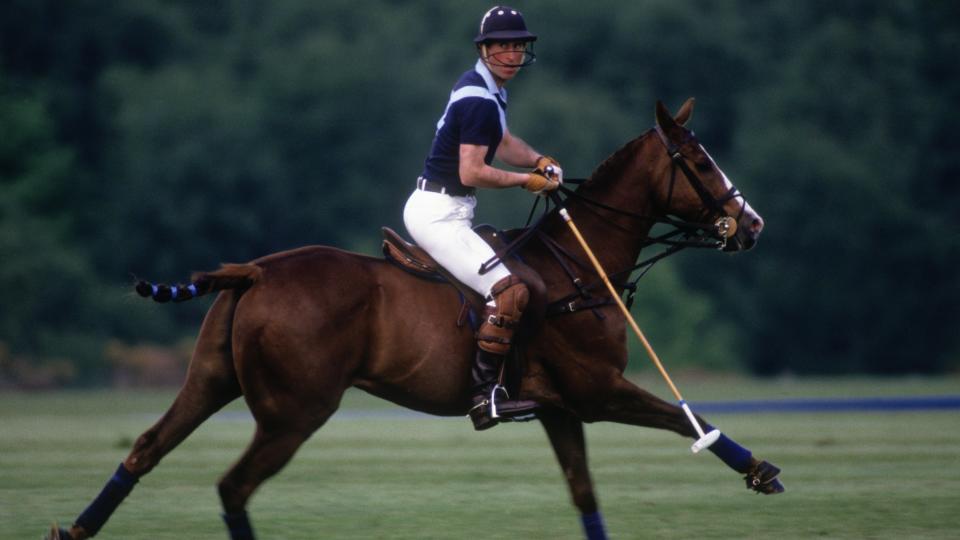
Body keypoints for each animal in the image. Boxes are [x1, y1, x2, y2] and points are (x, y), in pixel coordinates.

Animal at [48, 100, 780, 540]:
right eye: (701, 160)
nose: (752, 225)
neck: (580, 264)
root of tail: (252, 271)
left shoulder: (560, 409)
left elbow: (584, 494)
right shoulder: (595, 392)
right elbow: (690, 417)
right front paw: (761, 470)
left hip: (211, 377)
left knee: (145, 448)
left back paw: (74, 528)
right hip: (295, 410)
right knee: (233, 484)